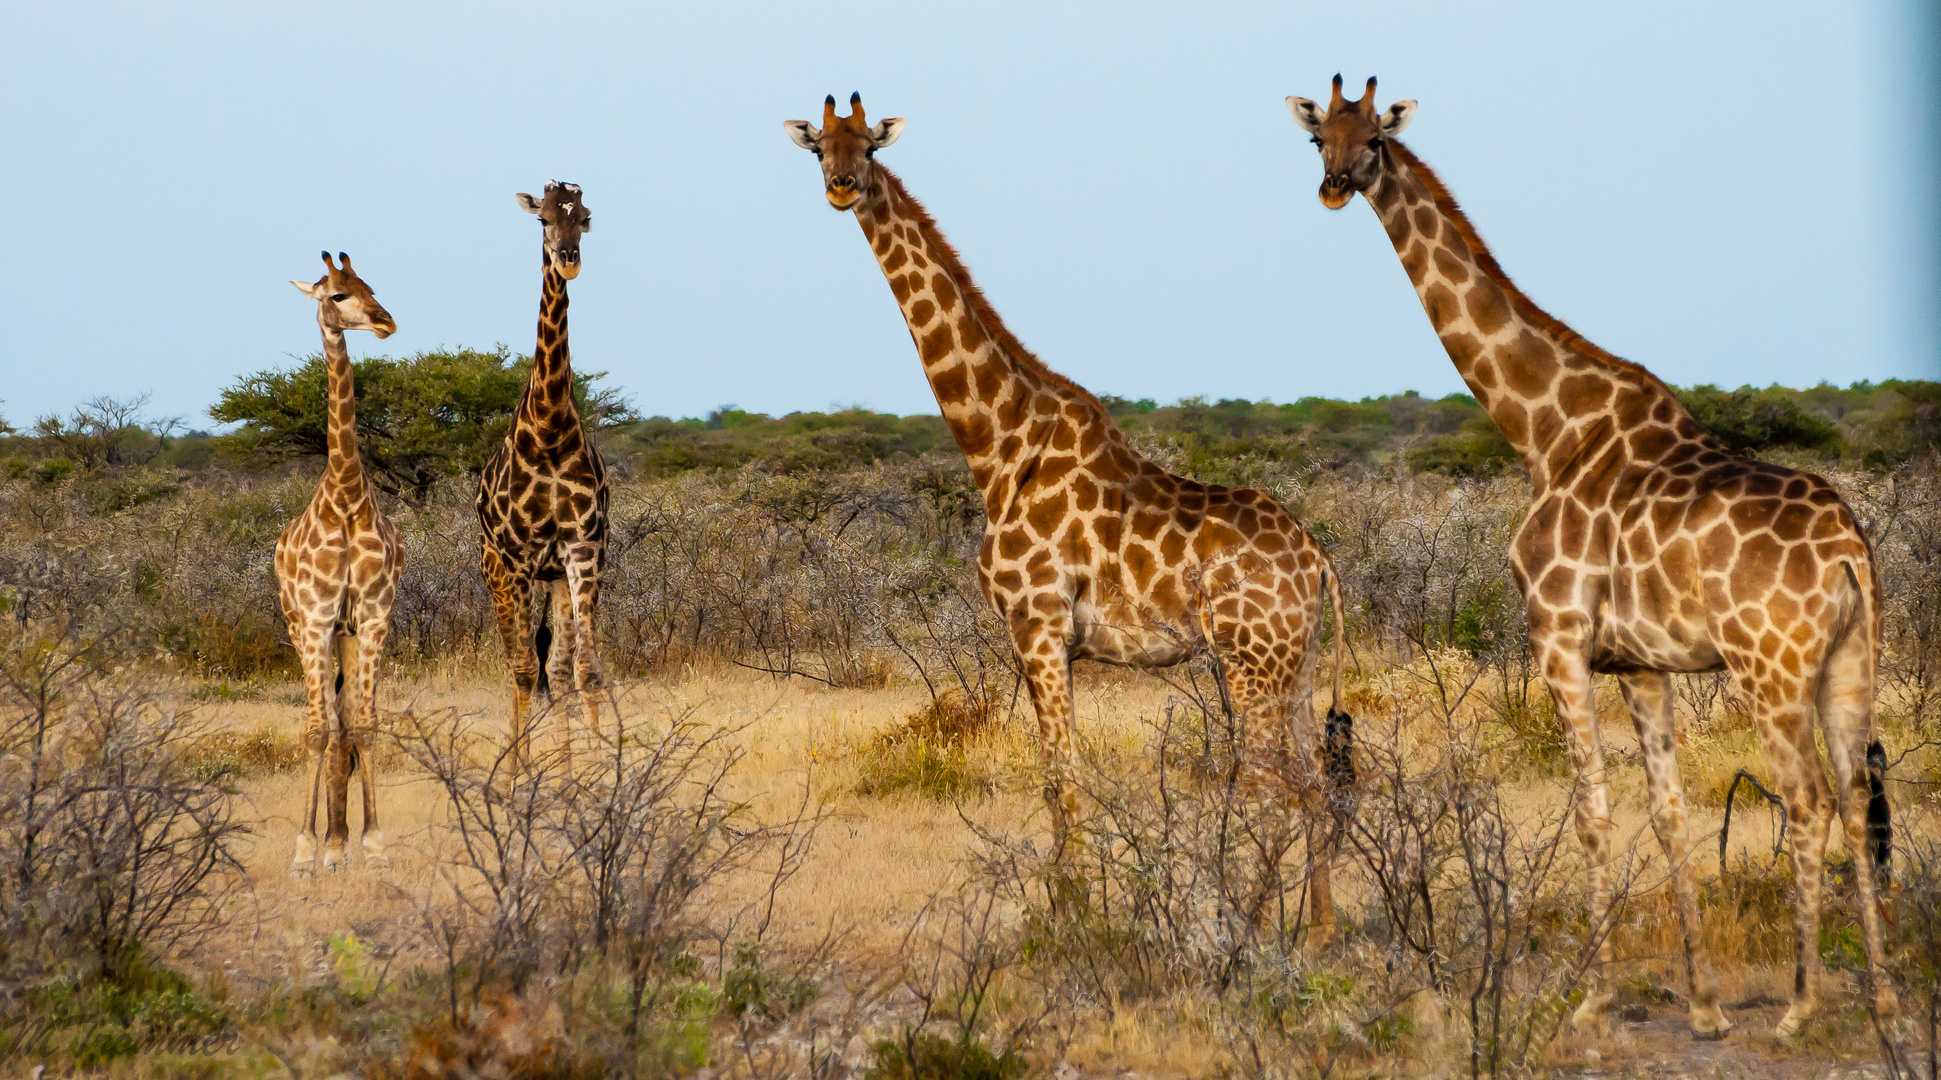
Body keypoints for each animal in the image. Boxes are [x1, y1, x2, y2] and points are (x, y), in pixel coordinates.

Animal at [780, 94, 1358, 928]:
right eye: (818, 146)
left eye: (869, 145)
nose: (840, 185)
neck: (998, 444)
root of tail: (1318, 561)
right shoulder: (1044, 640)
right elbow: (1058, 777)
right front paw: (1074, 906)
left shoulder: (1038, 624)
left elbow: (1061, 776)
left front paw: (1073, 919)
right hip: (1295, 663)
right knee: (1310, 782)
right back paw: (1313, 933)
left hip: (1251, 660)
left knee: (1267, 781)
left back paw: (1244, 928)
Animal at [1288, 73, 1894, 1041]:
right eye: (1318, 140)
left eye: (1374, 138)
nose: (1335, 187)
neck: (1545, 430)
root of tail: (1847, 552)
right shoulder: (1640, 664)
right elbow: (1667, 813)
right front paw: (1703, 1006)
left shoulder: (1558, 639)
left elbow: (1592, 814)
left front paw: (1590, 997)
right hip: (1849, 659)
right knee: (1851, 792)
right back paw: (1881, 996)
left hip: (1768, 666)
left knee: (1803, 803)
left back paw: (1802, 1007)